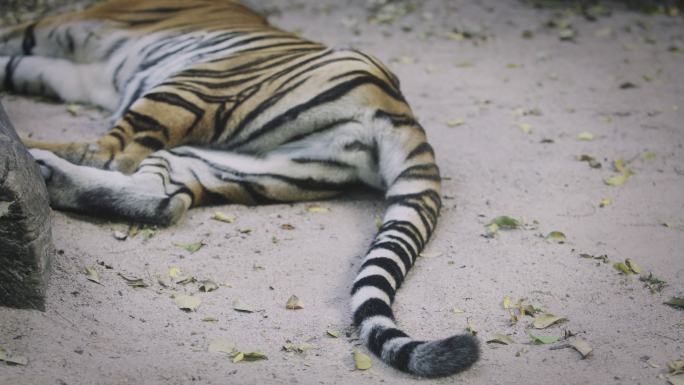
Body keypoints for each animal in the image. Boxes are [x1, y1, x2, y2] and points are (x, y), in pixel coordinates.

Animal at [0, 0, 478, 378]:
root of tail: (401, 110)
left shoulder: (68, 23)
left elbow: (12, 40)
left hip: (194, 86)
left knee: (110, 153)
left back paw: (33, 155)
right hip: (237, 165)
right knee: (163, 198)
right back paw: (47, 173)